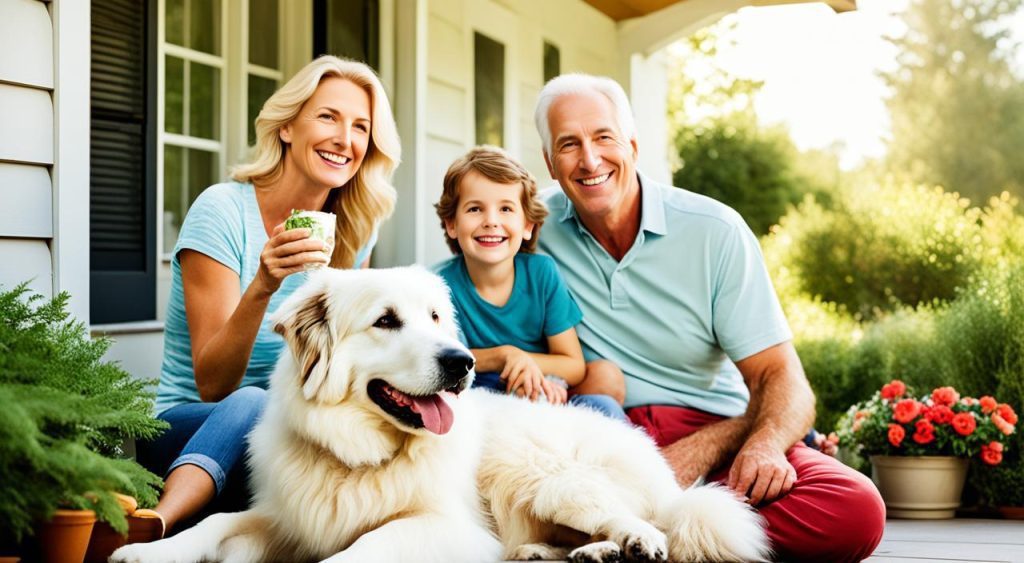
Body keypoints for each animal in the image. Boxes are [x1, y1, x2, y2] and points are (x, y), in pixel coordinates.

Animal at [112, 266, 770, 560]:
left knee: (647, 523)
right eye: (385, 320)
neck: (360, 459)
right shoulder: (288, 518)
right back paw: (565, 554)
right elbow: (219, 523)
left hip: (544, 477)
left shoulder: (443, 527)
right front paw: (147, 552)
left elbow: (365, 547)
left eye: (434, 317)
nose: (462, 363)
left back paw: (629, 543)